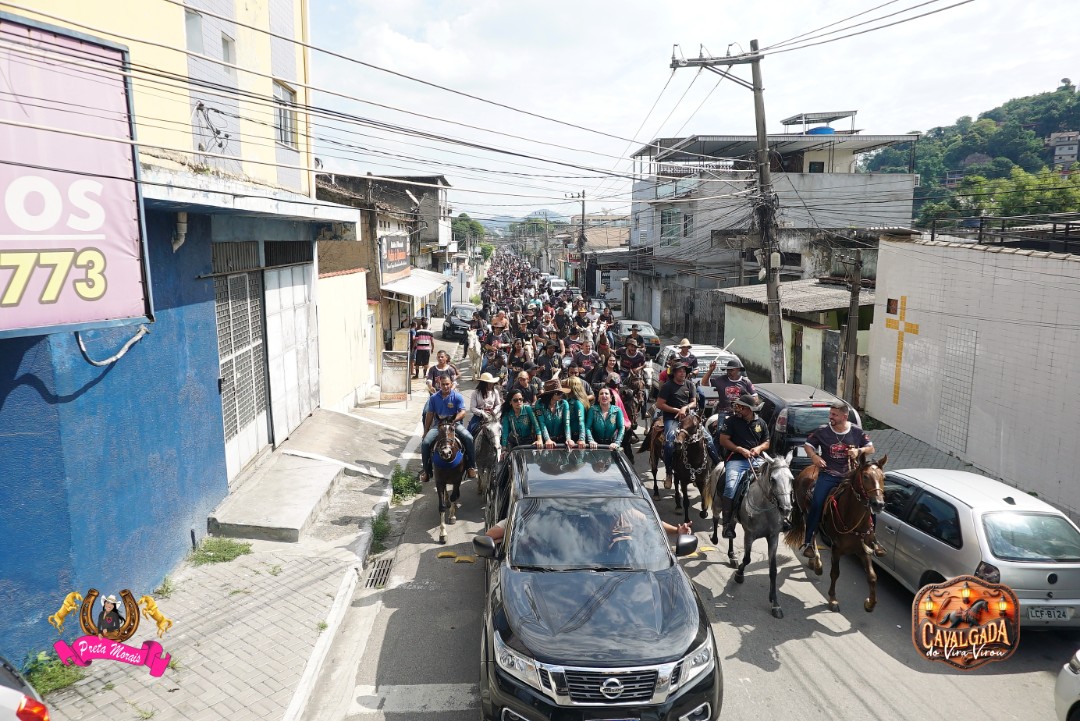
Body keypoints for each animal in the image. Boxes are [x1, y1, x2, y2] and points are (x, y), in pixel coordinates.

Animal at [708, 452, 794, 619]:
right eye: (773, 479)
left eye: (791, 479)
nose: (786, 508)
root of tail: (720, 463)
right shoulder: (749, 535)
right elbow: (747, 559)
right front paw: (739, 575)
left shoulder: (773, 537)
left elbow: (773, 570)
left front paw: (775, 603)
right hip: (717, 503)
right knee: (715, 519)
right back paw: (715, 539)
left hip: (733, 517)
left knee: (730, 532)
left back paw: (732, 555)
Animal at [784, 454, 888, 613]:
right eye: (865, 476)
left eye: (883, 477)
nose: (879, 504)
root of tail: (807, 468)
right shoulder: (837, 548)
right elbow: (835, 573)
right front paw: (832, 599)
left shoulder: (864, 549)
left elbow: (872, 576)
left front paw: (870, 604)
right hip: (807, 514)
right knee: (811, 534)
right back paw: (815, 561)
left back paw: (813, 561)